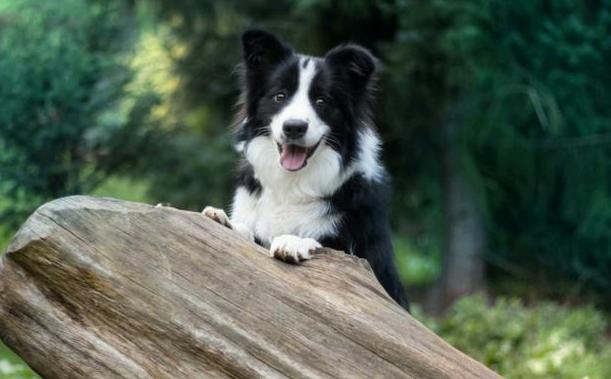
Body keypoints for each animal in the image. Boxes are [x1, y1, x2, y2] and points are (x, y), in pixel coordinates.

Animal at [206, 29, 412, 308]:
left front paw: (292, 241)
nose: (294, 127)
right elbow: (248, 232)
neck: (292, 183)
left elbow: (322, 244)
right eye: (280, 96)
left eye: (322, 101)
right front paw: (223, 220)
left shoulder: (362, 257)